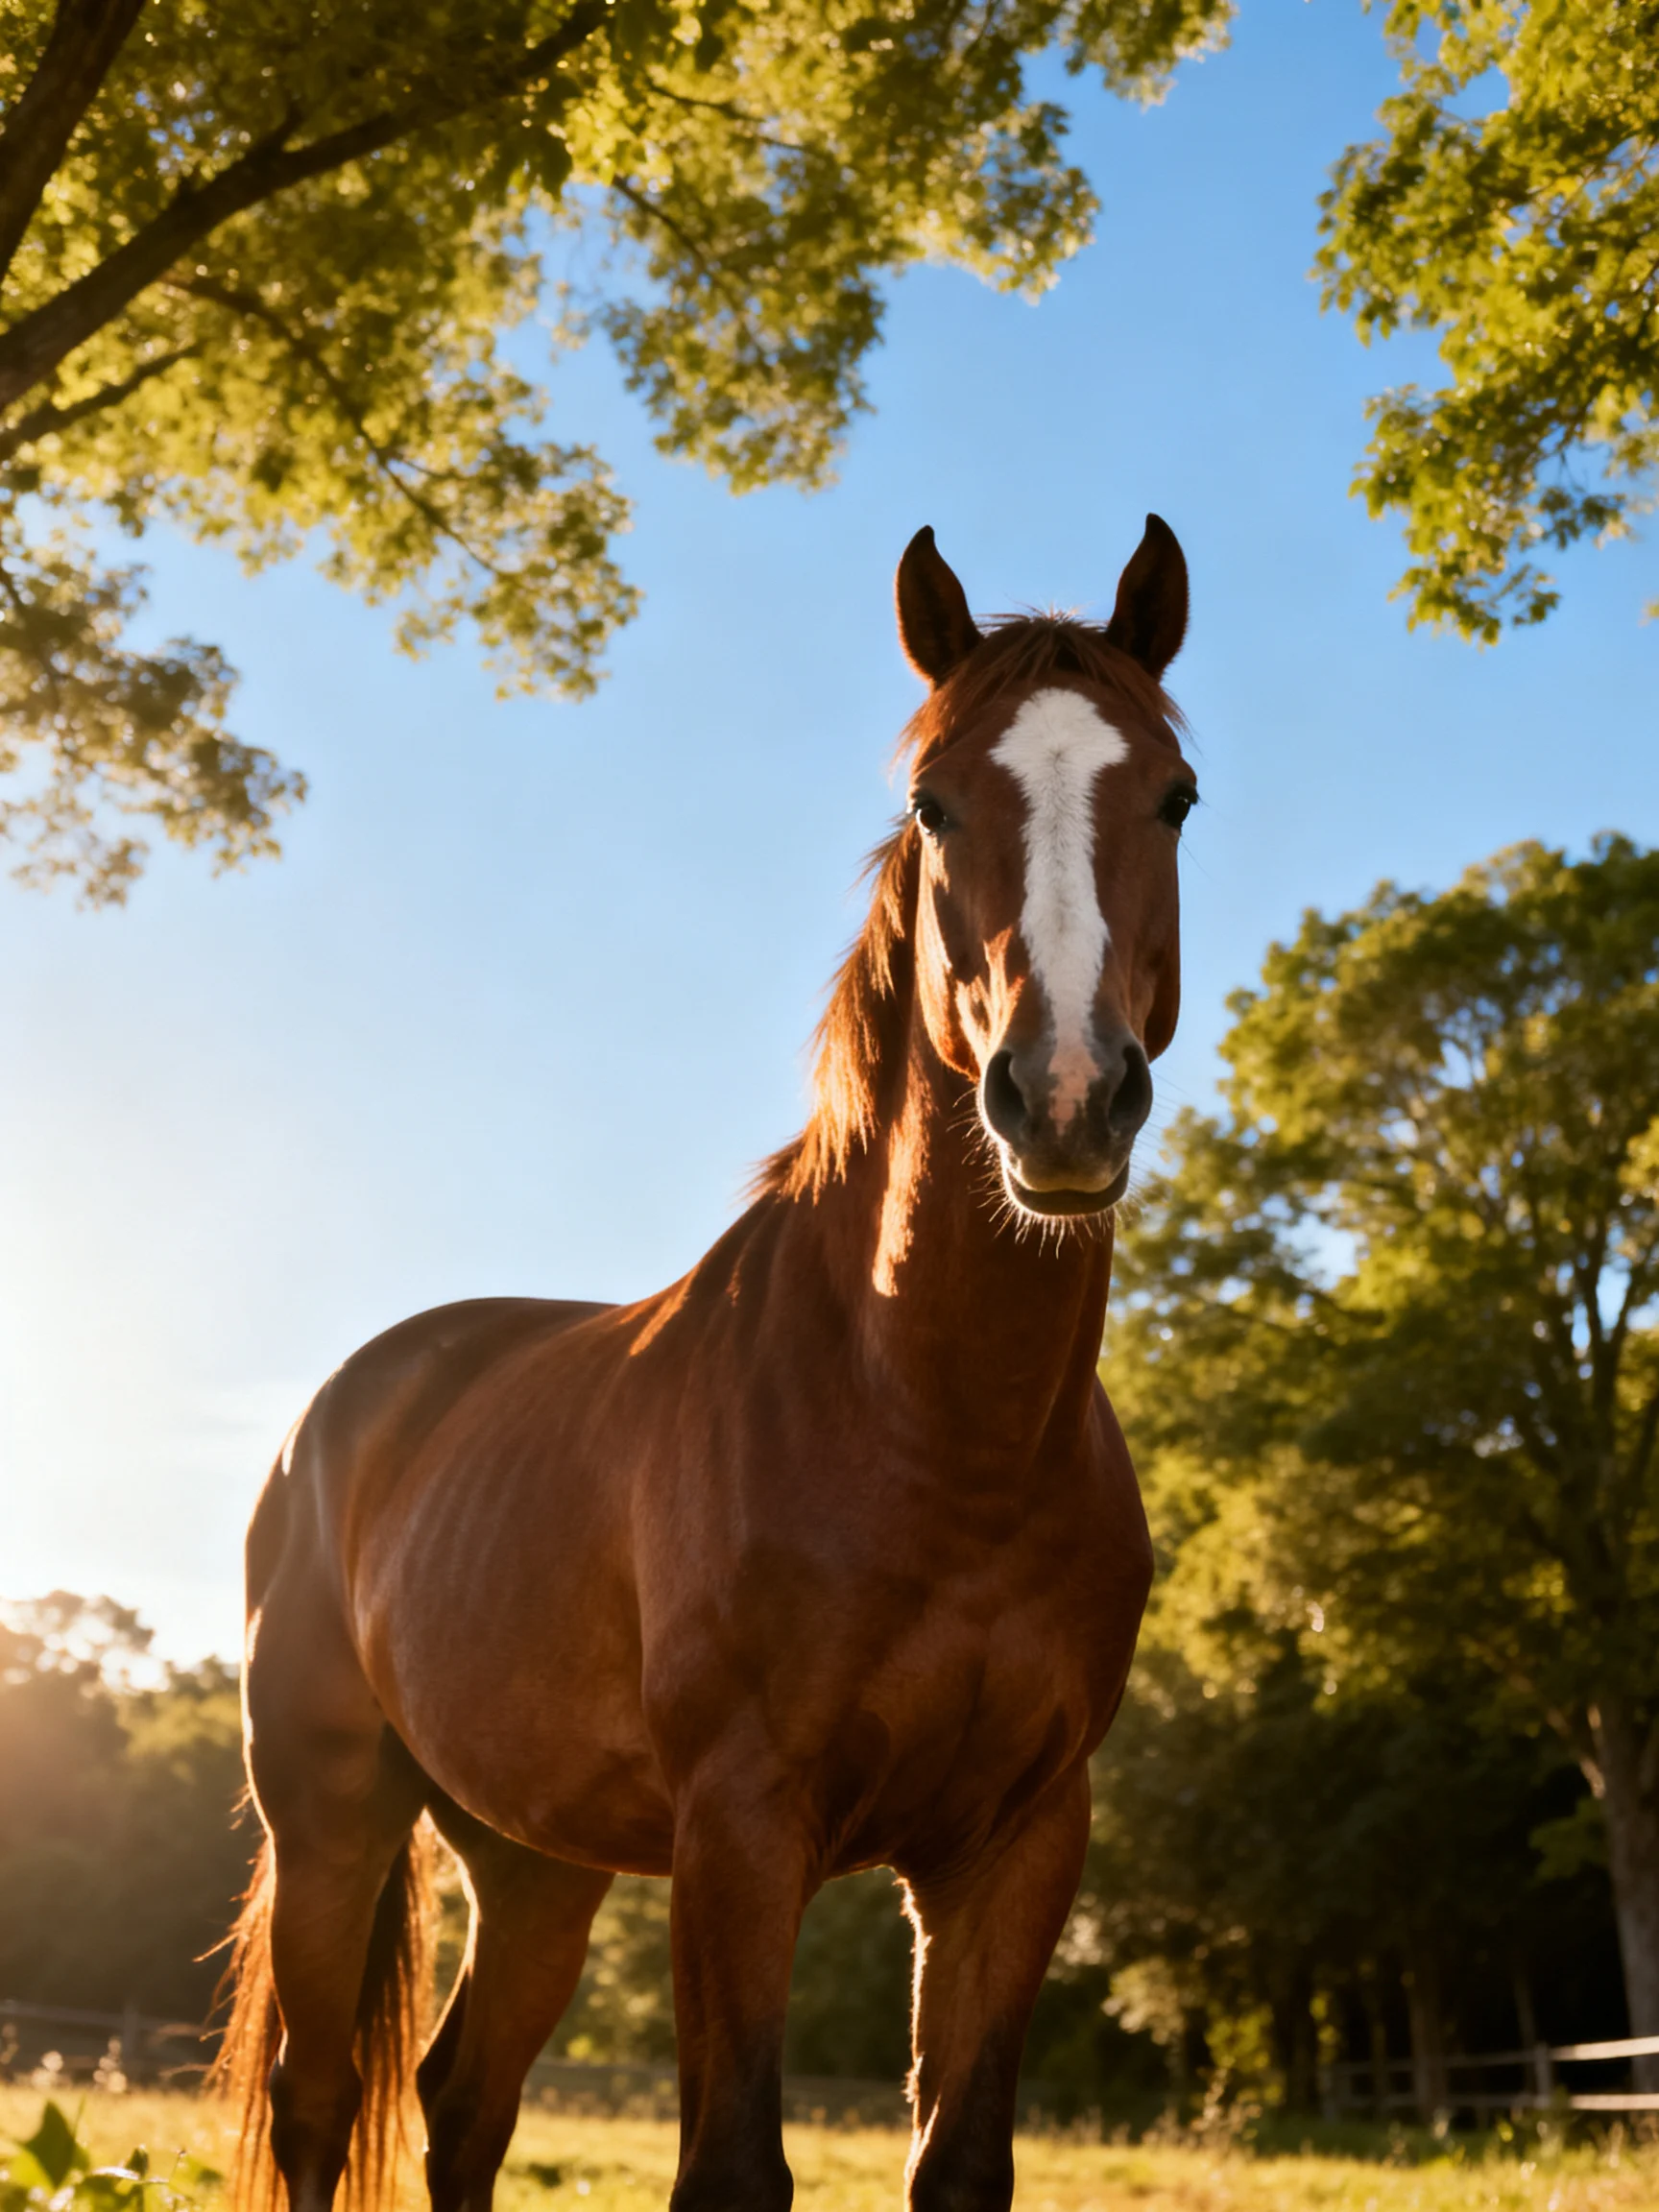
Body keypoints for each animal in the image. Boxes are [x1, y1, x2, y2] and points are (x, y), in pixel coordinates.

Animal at [215, 514, 1197, 2212]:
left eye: (1176, 796)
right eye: (937, 803)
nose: (1067, 1098)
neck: (939, 1430)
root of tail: (344, 1409)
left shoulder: (1015, 1844)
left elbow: (961, 2160)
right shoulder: (743, 1833)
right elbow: (731, 2163)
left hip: (535, 1859)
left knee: (464, 2098)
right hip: (334, 1811)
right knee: (323, 2101)